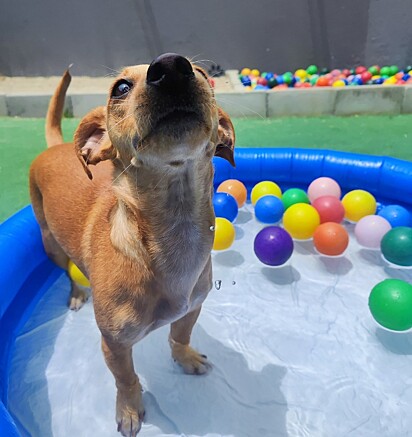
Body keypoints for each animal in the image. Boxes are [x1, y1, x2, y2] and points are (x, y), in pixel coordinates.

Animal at [29, 54, 235, 436]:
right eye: (120, 88)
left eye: (202, 74)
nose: (170, 67)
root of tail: (55, 148)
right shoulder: (114, 345)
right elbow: (126, 379)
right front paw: (129, 409)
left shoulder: (192, 308)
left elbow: (179, 336)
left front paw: (184, 358)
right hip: (50, 242)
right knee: (65, 269)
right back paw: (77, 293)